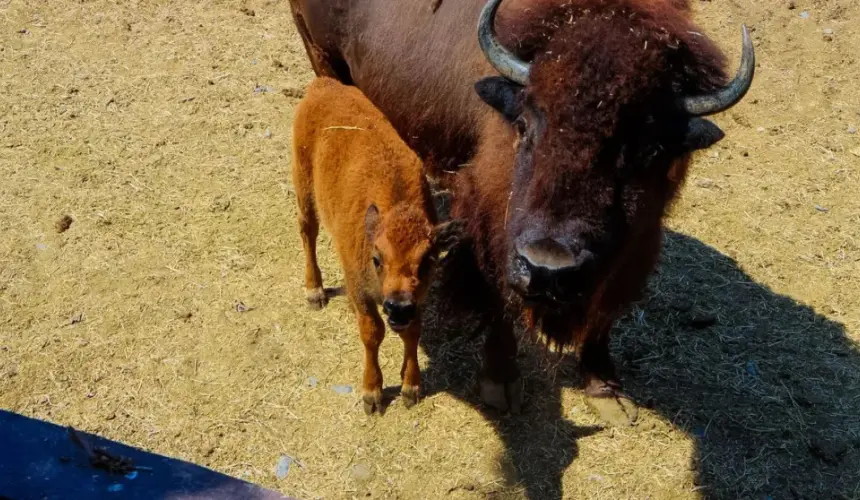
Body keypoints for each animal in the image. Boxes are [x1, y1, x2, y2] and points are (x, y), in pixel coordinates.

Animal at [292, 78, 460, 414]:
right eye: (377, 259)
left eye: (428, 260)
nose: (397, 305)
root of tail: (323, 85)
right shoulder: (362, 290)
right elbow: (372, 333)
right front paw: (372, 393)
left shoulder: (417, 299)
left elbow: (412, 331)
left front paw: (410, 388)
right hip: (303, 186)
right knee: (308, 232)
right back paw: (314, 291)